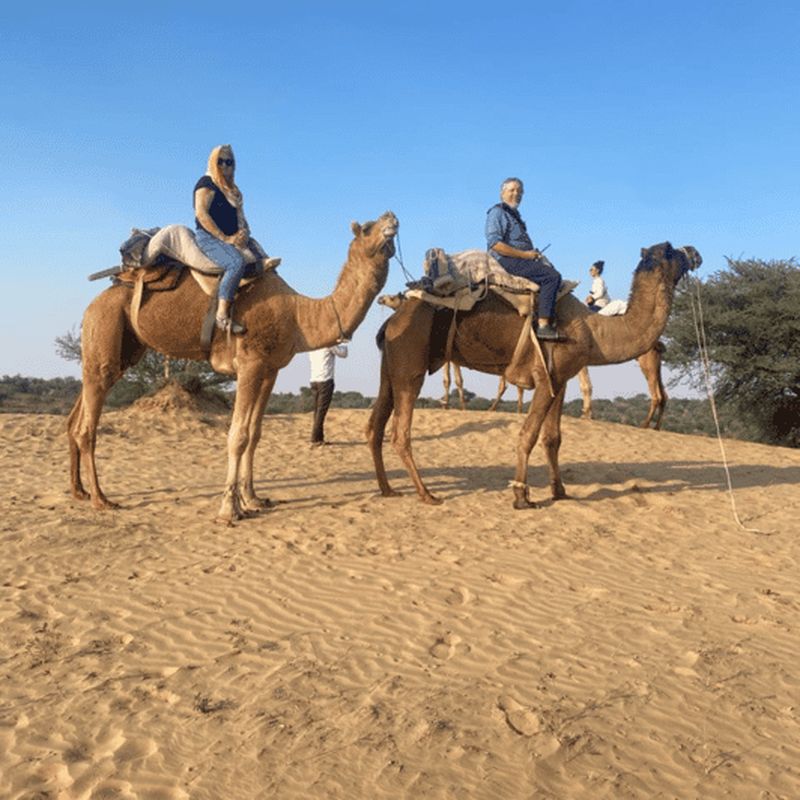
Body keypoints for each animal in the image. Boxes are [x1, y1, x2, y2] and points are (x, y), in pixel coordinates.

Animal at [69, 211, 399, 521]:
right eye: (367, 227)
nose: (392, 217)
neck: (297, 315)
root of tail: (96, 300)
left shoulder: (270, 369)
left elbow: (254, 434)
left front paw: (253, 499)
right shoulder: (250, 363)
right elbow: (237, 436)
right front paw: (229, 509)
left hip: (122, 350)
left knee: (82, 408)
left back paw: (80, 492)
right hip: (106, 323)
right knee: (87, 426)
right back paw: (101, 499)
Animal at [490, 342, 668, 428]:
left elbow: (586, 386)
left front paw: (586, 415)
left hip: (646, 360)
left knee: (656, 394)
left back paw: (645, 424)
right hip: (655, 361)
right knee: (664, 394)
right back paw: (656, 427)